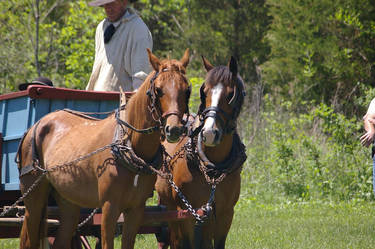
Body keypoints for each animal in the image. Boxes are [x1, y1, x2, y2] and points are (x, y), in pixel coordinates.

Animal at [18, 48, 192, 249]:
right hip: (34, 200)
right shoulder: (110, 207)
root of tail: (35, 125)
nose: (174, 129)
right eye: (158, 90)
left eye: (187, 90)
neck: (129, 148)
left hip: (68, 201)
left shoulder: (136, 210)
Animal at [155, 56, 247, 249]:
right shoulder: (186, 213)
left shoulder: (225, 214)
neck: (212, 170)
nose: (209, 133)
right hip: (169, 208)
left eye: (231, 94)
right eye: (204, 91)